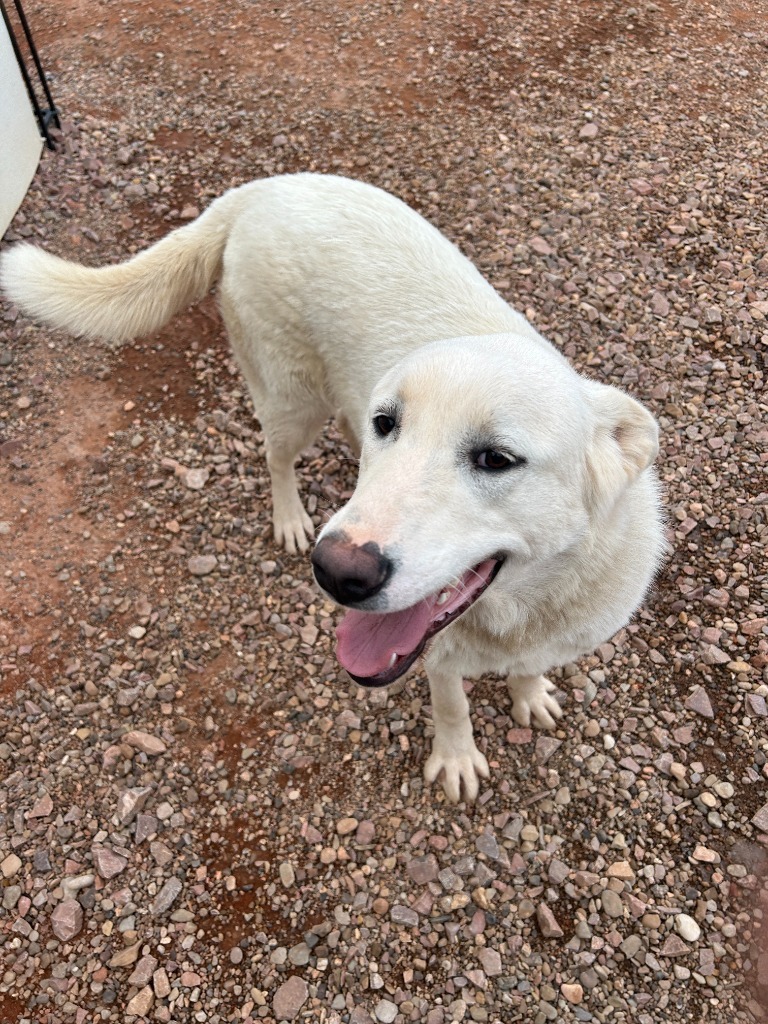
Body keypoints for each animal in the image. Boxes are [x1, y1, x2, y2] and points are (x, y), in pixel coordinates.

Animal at [0, 174, 663, 798]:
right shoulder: (438, 659)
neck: (524, 612)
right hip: (292, 400)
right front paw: (456, 759)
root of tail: (259, 189)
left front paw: (529, 695)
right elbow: (452, 706)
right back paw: (292, 517)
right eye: (391, 423)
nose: (337, 572)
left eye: (497, 459)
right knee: (276, 457)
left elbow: (529, 672)